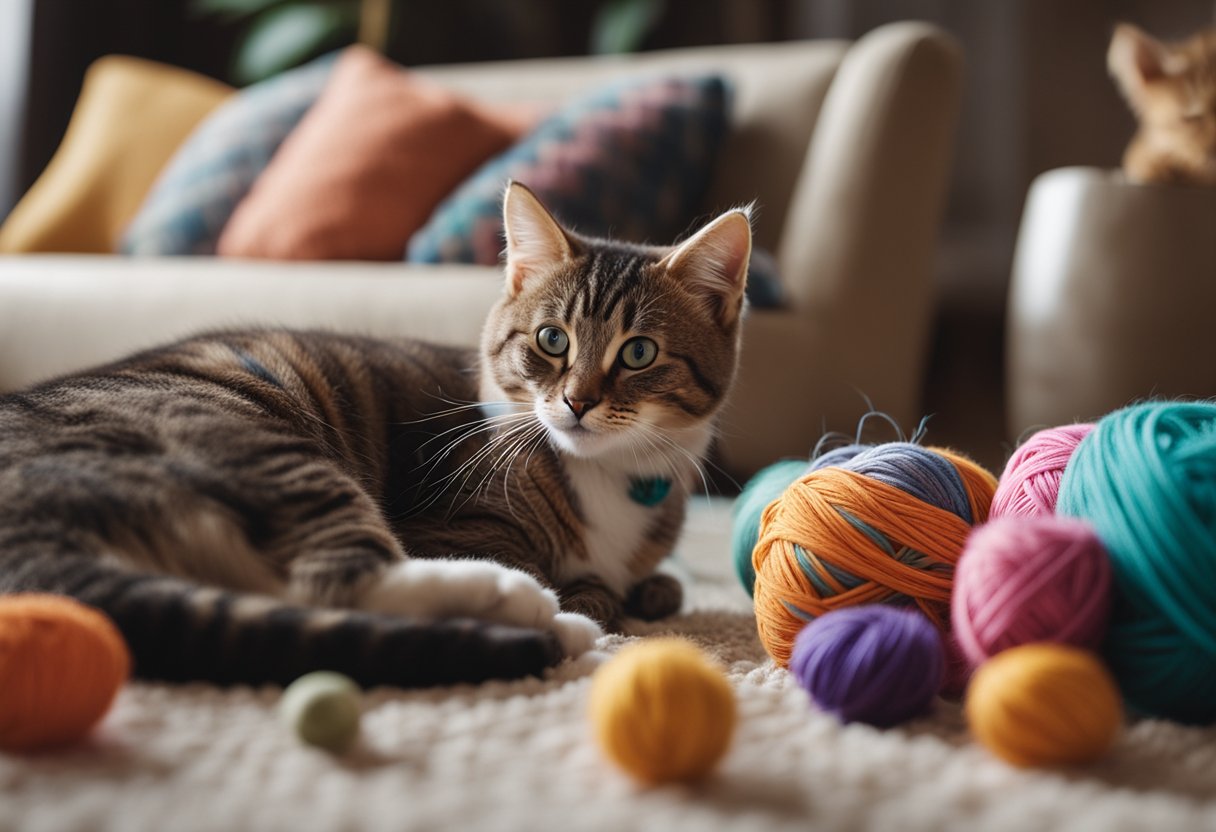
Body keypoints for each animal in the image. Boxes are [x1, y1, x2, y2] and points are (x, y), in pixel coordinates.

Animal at [0, 183, 749, 690]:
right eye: (551, 340)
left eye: (639, 353)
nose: (578, 401)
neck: (608, 475)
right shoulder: (448, 522)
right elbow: (575, 576)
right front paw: (592, 595)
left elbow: (657, 581)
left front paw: (651, 588)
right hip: (252, 438)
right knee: (336, 579)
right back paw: (532, 611)